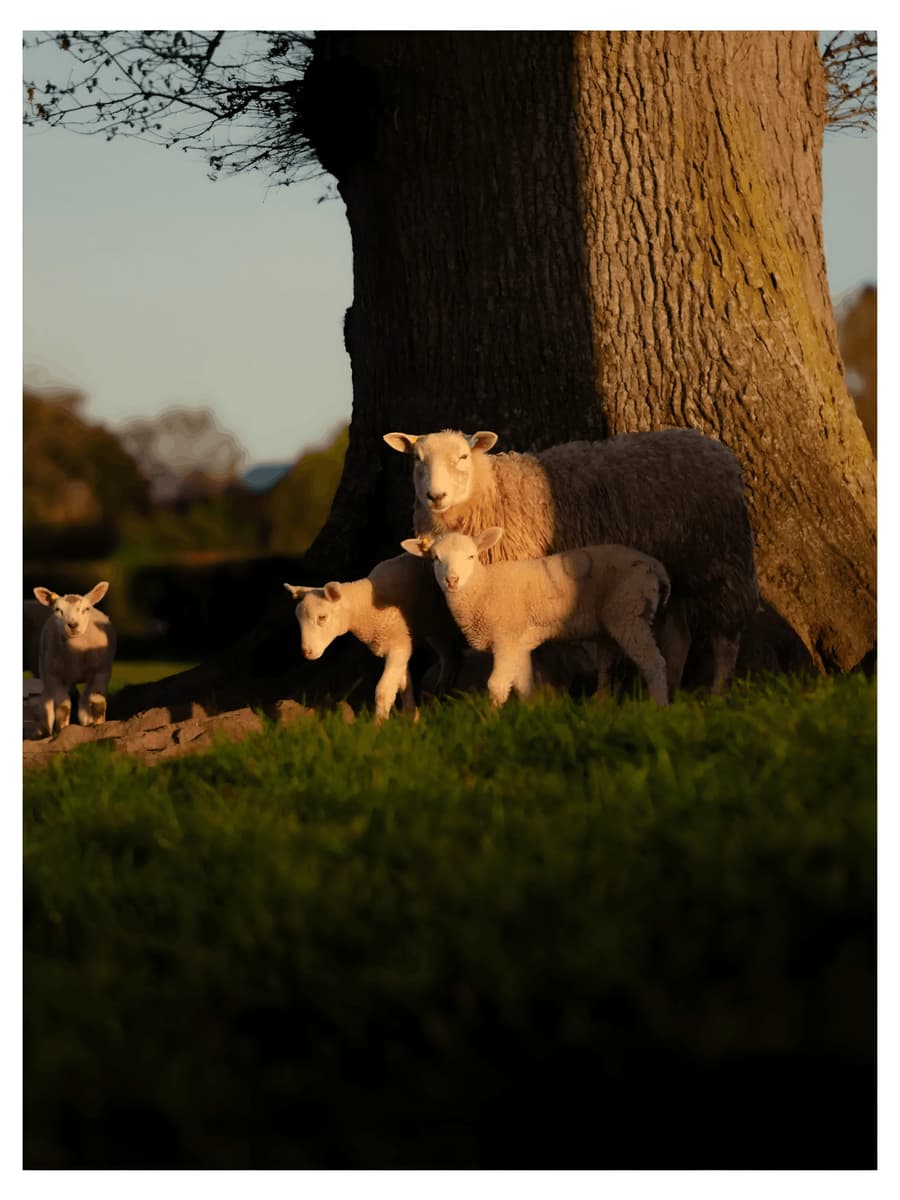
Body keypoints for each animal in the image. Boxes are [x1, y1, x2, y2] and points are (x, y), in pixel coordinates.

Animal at [32, 582, 117, 736]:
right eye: (57, 609)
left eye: (86, 609)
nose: (72, 625)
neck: (75, 655)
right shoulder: (55, 676)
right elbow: (63, 707)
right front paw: (62, 731)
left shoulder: (102, 672)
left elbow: (98, 702)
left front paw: (100, 726)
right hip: (45, 668)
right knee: (46, 699)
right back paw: (45, 731)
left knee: (85, 698)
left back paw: (87, 722)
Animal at [284, 552, 462, 722]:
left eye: (322, 617)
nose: (306, 652)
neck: (367, 608)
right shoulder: (401, 643)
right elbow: (403, 684)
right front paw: (412, 716)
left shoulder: (397, 645)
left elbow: (383, 691)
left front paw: (379, 724)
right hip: (431, 626)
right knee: (446, 651)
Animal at [403, 528, 672, 708]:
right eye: (435, 558)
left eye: (471, 556)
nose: (452, 580)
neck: (482, 587)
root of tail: (655, 566)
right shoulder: (518, 644)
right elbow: (523, 685)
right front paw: (530, 714)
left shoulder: (506, 638)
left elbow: (496, 686)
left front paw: (490, 719)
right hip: (614, 620)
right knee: (609, 665)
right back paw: (601, 703)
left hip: (629, 611)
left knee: (653, 662)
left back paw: (659, 706)